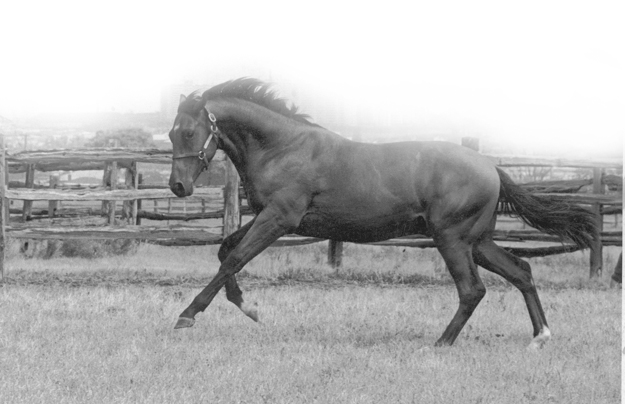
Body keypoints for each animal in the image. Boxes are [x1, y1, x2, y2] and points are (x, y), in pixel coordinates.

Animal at [167, 77, 596, 348]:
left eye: (188, 132)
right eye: (171, 133)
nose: (178, 187)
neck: (283, 148)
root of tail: (491, 168)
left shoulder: (280, 219)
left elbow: (234, 258)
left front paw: (187, 316)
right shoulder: (265, 216)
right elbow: (226, 250)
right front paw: (251, 308)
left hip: (453, 239)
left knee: (472, 289)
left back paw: (440, 343)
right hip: (478, 241)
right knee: (521, 271)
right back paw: (540, 337)